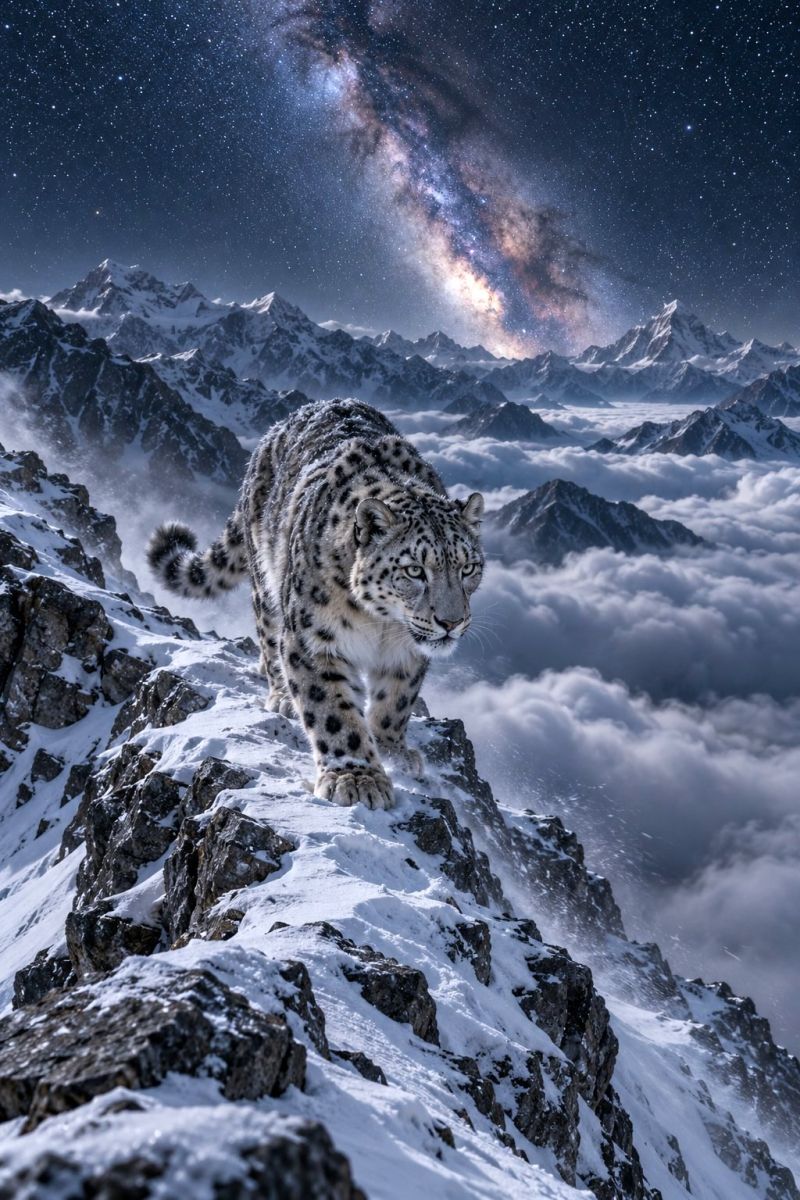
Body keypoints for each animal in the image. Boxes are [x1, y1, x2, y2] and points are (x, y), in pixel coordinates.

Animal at [147, 398, 484, 810]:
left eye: (468, 567)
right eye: (415, 570)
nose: (451, 622)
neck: (382, 625)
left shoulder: (408, 652)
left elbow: (396, 700)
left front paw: (393, 750)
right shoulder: (313, 641)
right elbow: (332, 711)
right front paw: (356, 776)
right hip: (267, 586)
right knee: (268, 637)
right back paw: (280, 696)